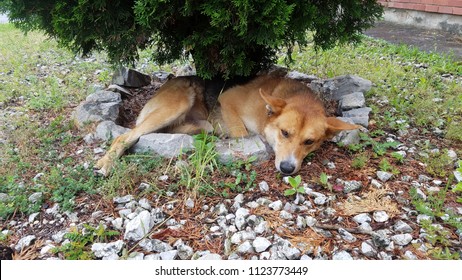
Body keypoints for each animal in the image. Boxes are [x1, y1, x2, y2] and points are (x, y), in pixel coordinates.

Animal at [95, 74, 360, 175]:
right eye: (285, 133)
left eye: (309, 142)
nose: (287, 169)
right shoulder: (229, 98)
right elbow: (240, 131)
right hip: (177, 104)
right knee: (126, 136)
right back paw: (106, 163)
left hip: (196, 122)